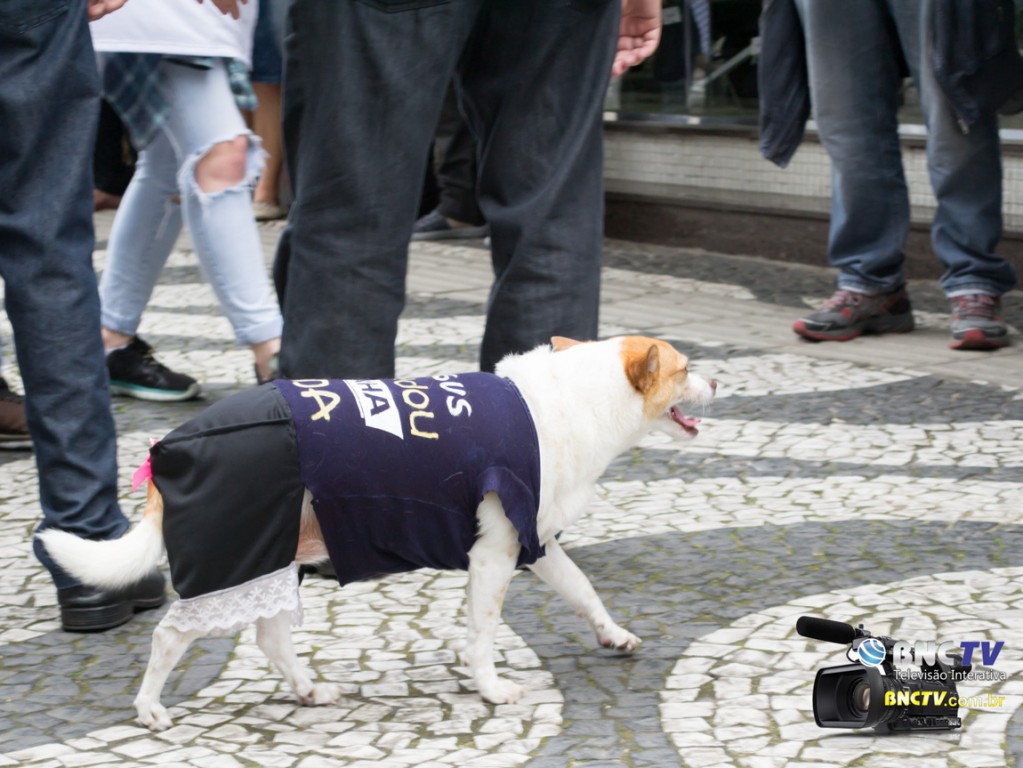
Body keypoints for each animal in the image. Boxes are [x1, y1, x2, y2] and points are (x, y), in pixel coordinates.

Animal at [38, 336, 716, 731]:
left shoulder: (536, 542)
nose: (719, 383)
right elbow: (483, 633)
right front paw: (491, 688)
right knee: (171, 637)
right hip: (230, 563)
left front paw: (614, 634)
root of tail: (166, 451)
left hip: (274, 559)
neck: (570, 400)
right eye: (686, 369)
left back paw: (308, 691)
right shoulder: (494, 554)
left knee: (270, 637)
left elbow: (583, 591)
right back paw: (150, 707)